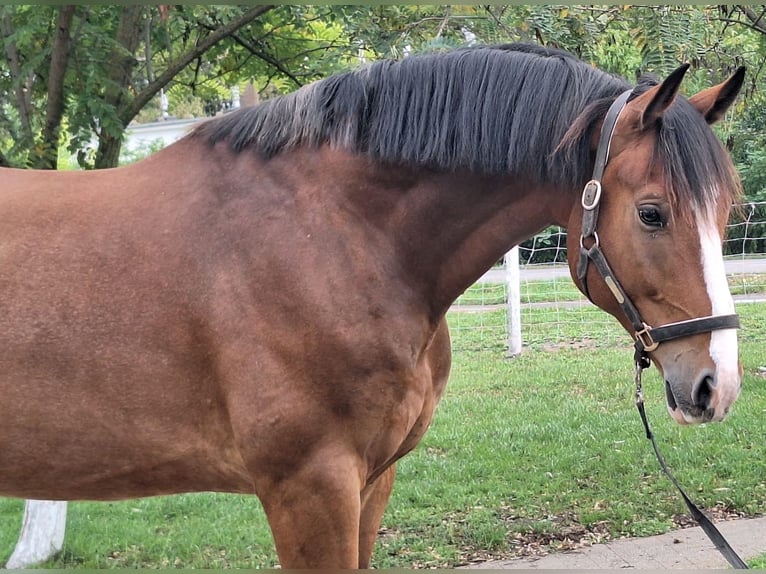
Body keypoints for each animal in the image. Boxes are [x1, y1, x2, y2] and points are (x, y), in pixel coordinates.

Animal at [0, 44, 748, 568]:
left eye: (726, 213)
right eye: (652, 213)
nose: (718, 386)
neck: (336, 238)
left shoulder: (370, 484)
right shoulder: (309, 489)